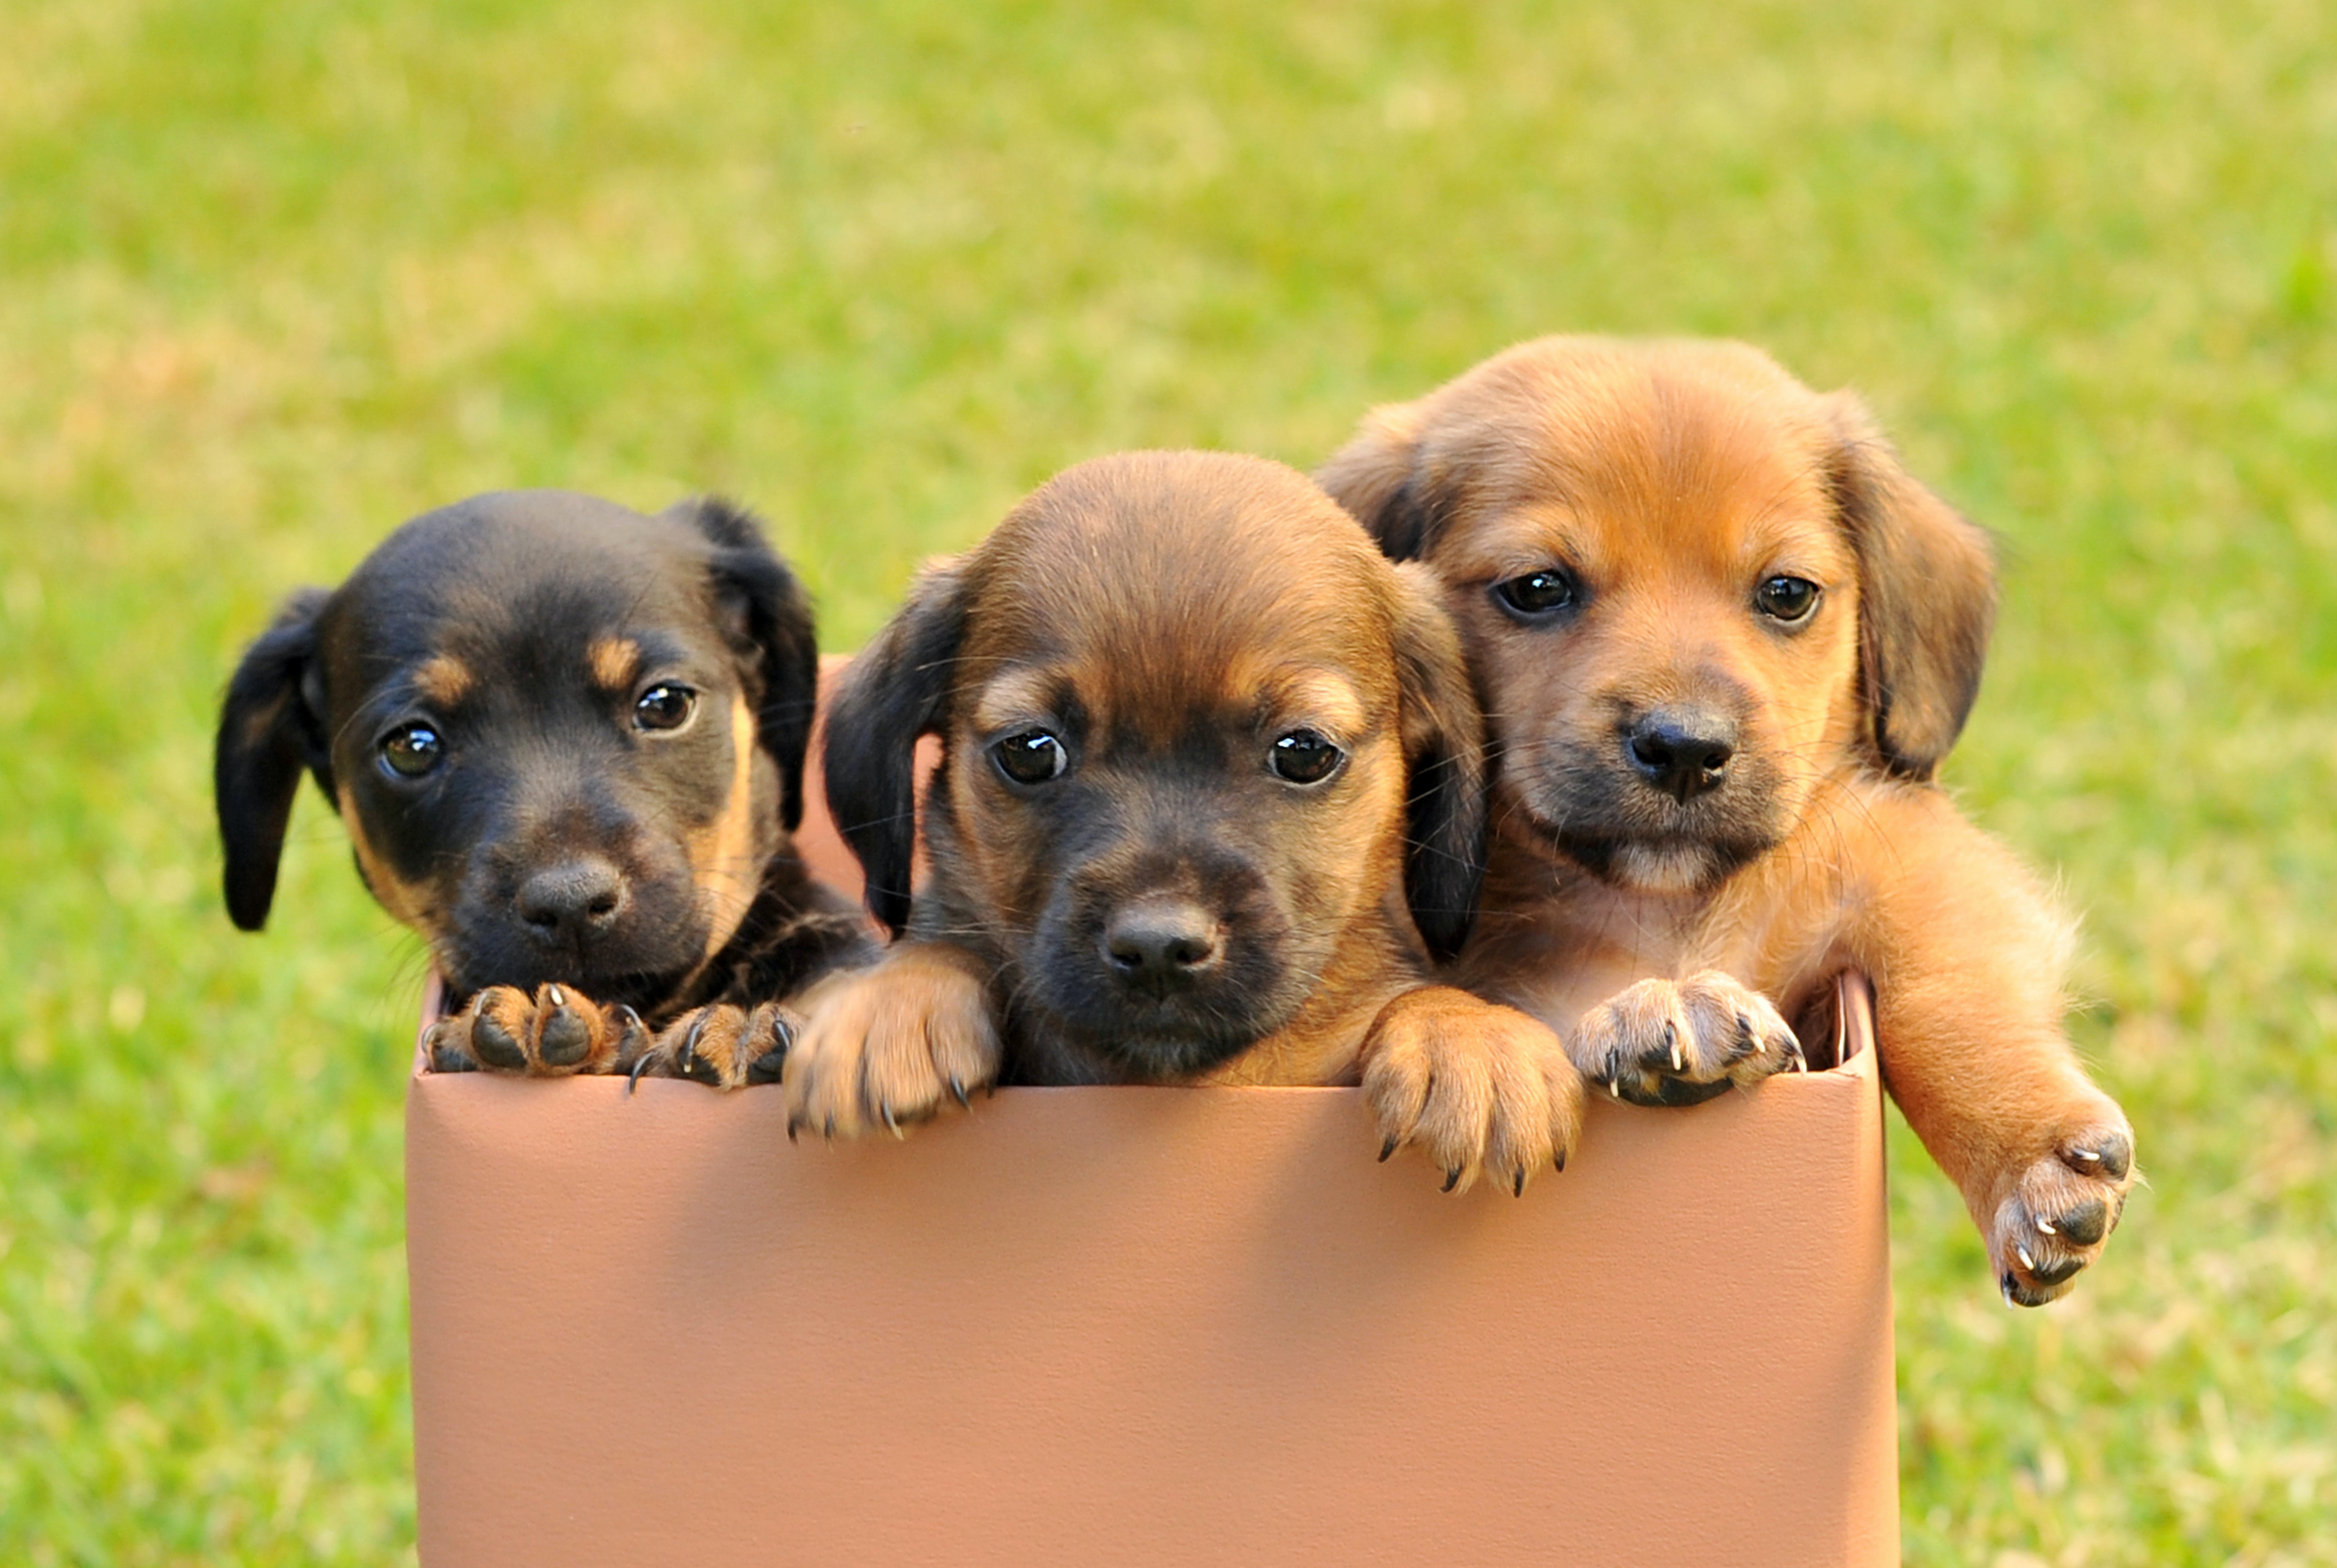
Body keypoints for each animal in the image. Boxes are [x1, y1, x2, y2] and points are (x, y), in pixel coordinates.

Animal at [790, 448, 1589, 1196]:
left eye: (1303, 752)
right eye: (1030, 751)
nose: (1158, 947)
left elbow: (1414, 997)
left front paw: (1473, 1042)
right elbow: (938, 948)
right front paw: (889, 1009)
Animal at [1318, 341, 2140, 1299]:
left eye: (1786, 593)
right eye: (1536, 588)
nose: (1684, 749)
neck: (1668, 909)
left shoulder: (1913, 867)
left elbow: (1946, 1005)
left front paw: (2027, 1152)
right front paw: (1474, 1052)